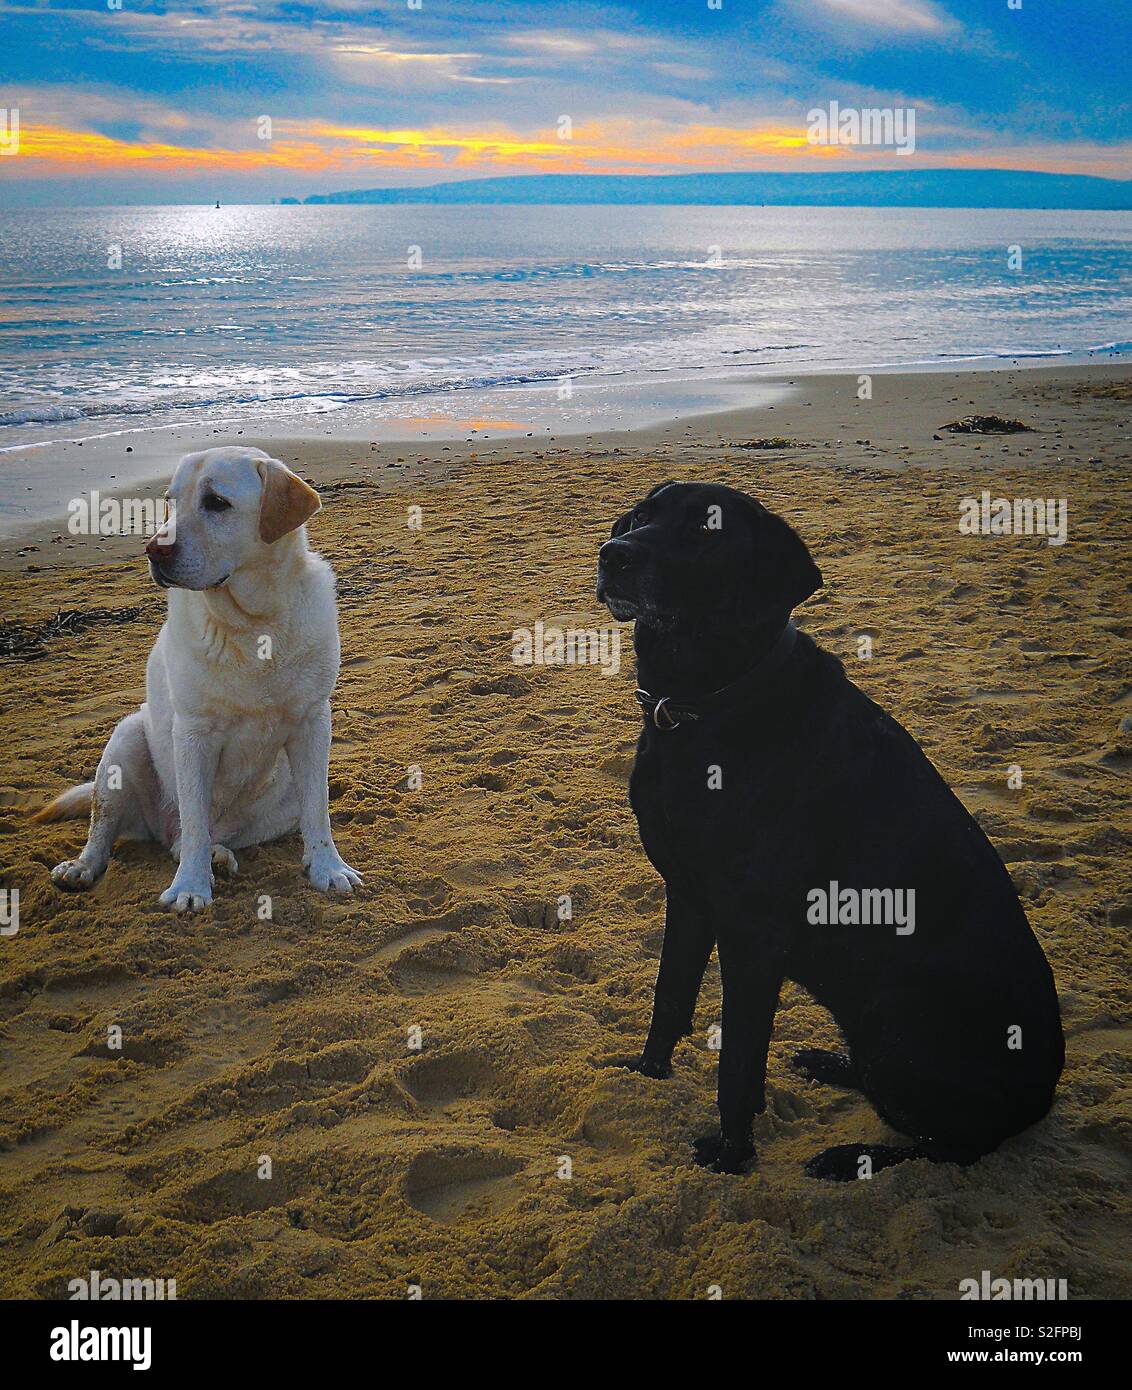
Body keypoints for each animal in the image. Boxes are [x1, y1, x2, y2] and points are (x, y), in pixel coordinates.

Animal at [38, 444, 358, 911]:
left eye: (217, 502)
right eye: (171, 501)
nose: (153, 550)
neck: (252, 624)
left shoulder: (312, 722)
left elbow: (318, 810)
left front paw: (328, 868)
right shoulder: (192, 734)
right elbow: (193, 817)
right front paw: (189, 887)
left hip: (281, 802)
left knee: (201, 836)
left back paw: (220, 856)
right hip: (125, 742)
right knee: (116, 828)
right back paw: (83, 867)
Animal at [597, 483, 1068, 1178]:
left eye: (708, 529)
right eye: (640, 516)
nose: (615, 554)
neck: (706, 704)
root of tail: (1043, 1097)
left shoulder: (753, 932)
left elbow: (738, 1062)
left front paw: (732, 1155)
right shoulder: (688, 896)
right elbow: (670, 998)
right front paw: (647, 1074)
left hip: (894, 1011)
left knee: (951, 1147)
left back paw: (852, 1158)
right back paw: (832, 1063)